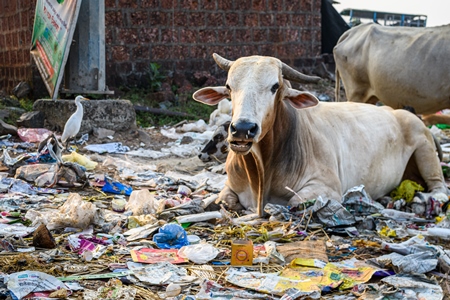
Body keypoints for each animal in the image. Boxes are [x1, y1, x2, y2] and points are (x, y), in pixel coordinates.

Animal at [192, 54, 446, 217]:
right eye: (229, 86)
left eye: (275, 86)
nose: (243, 129)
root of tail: (400, 112)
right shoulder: (230, 187)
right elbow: (225, 200)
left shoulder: (329, 188)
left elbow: (295, 201)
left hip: (425, 150)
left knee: (440, 186)